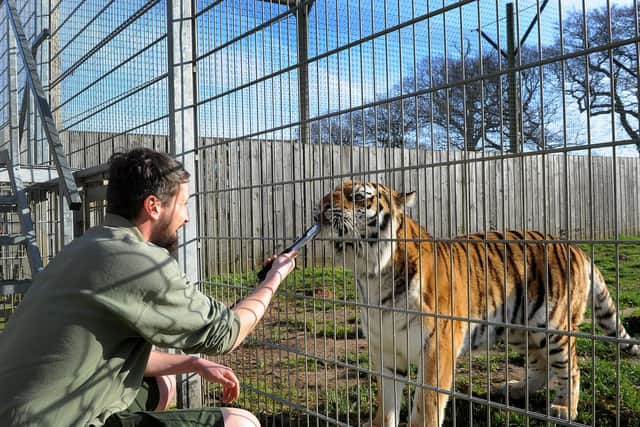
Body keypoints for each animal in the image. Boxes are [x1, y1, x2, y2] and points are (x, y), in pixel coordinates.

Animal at [316, 181, 640, 427]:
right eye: (331, 190)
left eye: (359, 196)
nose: (321, 205)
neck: (371, 273)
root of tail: (576, 248)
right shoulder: (385, 349)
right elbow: (386, 405)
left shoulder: (437, 346)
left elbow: (427, 404)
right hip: (520, 329)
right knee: (541, 364)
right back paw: (515, 390)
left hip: (553, 325)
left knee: (571, 367)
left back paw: (564, 409)